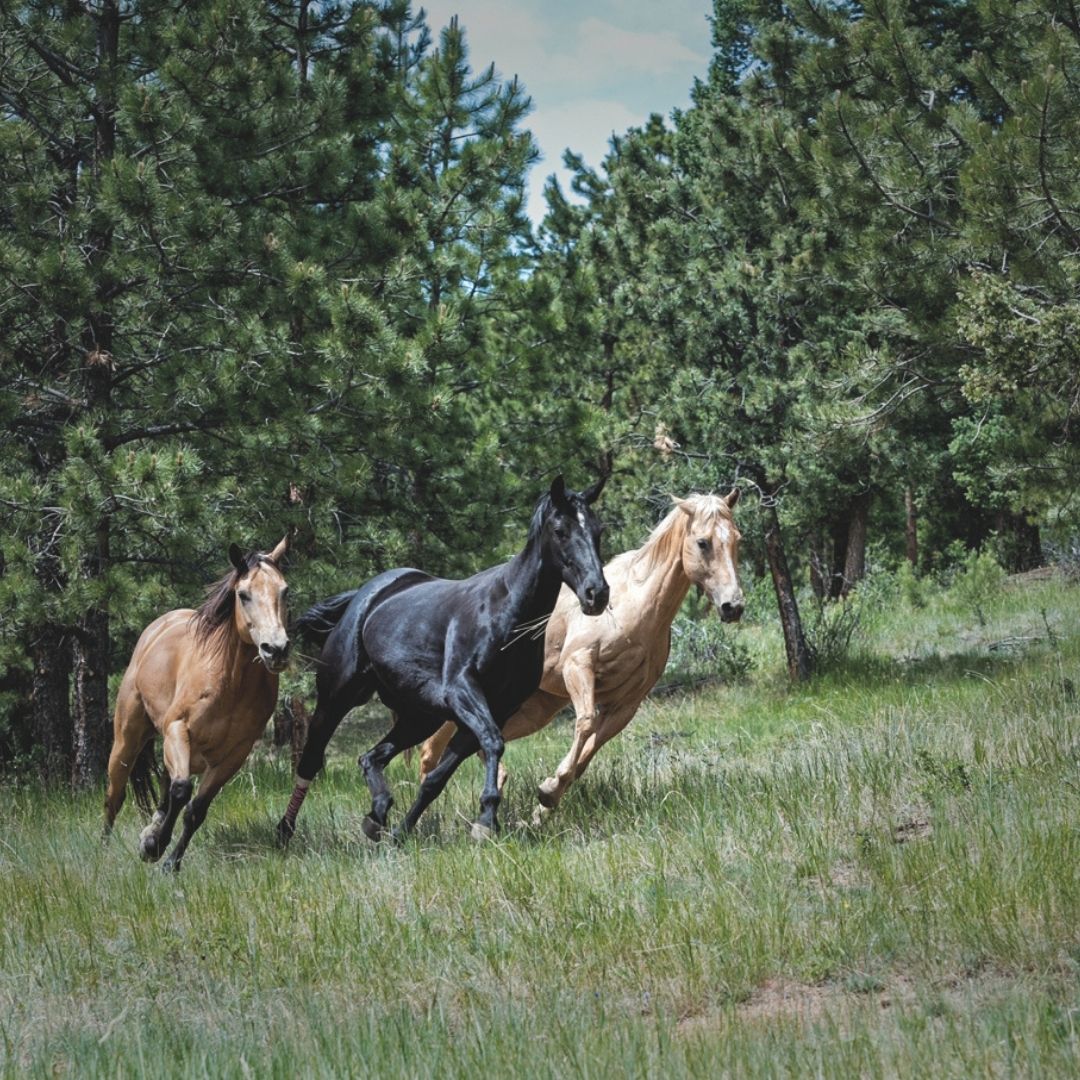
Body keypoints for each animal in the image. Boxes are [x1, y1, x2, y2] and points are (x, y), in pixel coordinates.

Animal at [103, 534, 291, 872]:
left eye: (285, 591)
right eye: (243, 595)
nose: (276, 649)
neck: (230, 683)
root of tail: (157, 628)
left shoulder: (234, 755)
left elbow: (196, 809)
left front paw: (168, 861)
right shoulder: (178, 729)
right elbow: (181, 791)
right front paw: (154, 847)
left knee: (165, 787)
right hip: (127, 741)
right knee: (115, 796)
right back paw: (103, 851)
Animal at [276, 476, 610, 845]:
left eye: (597, 530)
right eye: (561, 530)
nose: (597, 593)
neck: (506, 613)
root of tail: (365, 596)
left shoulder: (493, 708)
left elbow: (437, 778)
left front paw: (403, 832)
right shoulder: (462, 691)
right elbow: (493, 741)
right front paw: (485, 818)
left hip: (420, 717)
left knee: (370, 757)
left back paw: (377, 814)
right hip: (336, 698)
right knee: (310, 760)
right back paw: (285, 831)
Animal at [417, 491, 743, 815]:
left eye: (736, 539)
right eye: (703, 542)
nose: (733, 606)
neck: (635, 606)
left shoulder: (626, 703)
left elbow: (589, 752)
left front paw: (546, 801)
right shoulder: (578, 666)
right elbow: (585, 723)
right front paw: (548, 792)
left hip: (534, 708)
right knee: (431, 749)